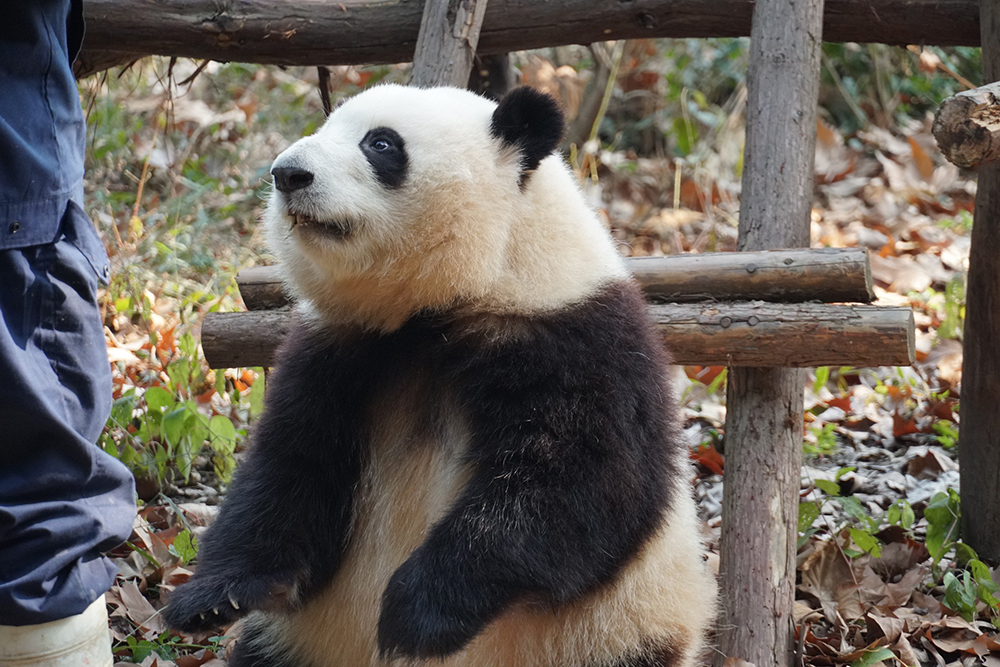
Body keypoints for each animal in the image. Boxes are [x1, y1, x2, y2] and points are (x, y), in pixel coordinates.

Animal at [164, 85, 716, 667]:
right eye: (326, 128)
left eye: (381, 143)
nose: (287, 174)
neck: (437, 309)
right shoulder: (337, 349)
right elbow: (290, 466)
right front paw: (212, 597)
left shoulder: (574, 334)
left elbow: (579, 485)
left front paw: (417, 612)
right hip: (304, 643)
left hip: (613, 633)